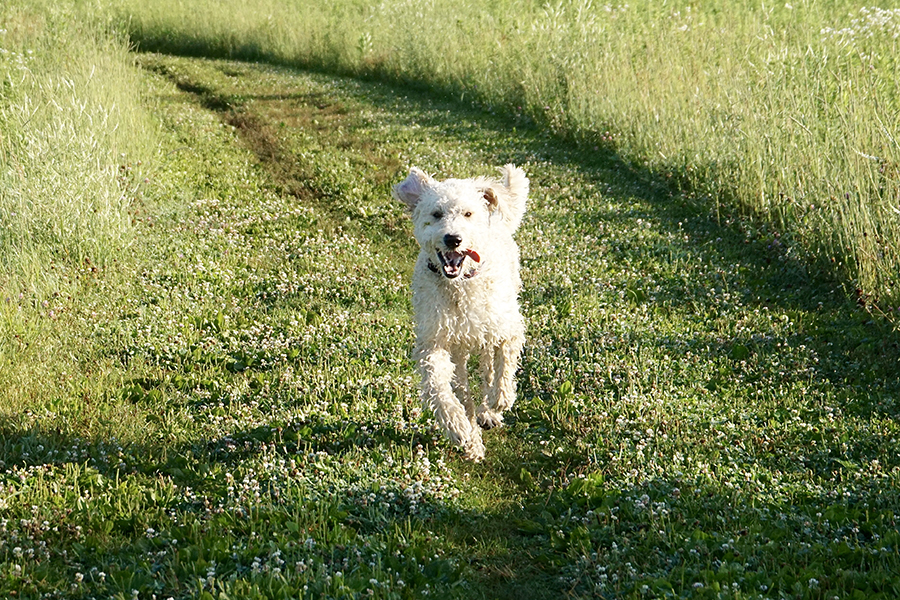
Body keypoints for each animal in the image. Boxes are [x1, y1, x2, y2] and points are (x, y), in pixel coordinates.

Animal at [394, 164, 528, 460]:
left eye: (468, 214)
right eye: (436, 214)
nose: (453, 239)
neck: (460, 286)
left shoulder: (508, 328)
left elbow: (504, 365)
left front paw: (499, 400)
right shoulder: (435, 342)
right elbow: (439, 386)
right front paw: (456, 425)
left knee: (488, 367)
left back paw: (488, 411)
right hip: (459, 350)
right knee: (464, 389)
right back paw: (472, 440)